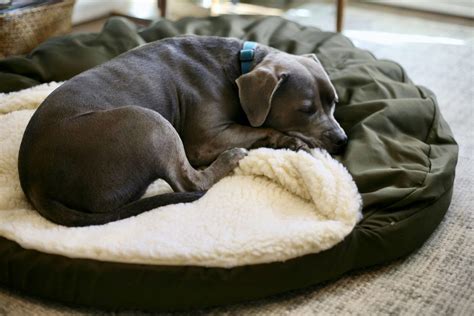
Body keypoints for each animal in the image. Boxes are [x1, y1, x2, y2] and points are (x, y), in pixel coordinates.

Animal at [18, 35, 346, 226]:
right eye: (306, 109)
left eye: (334, 102)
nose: (342, 140)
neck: (240, 66)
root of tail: (34, 182)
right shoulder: (206, 140)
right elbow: (258, 129)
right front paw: (289, 140)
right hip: (150, 123)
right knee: (189, 181)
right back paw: (232, 157)